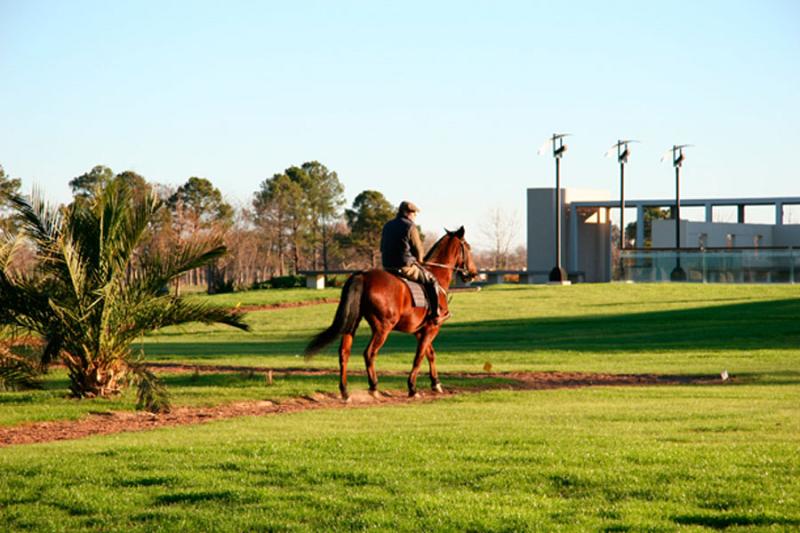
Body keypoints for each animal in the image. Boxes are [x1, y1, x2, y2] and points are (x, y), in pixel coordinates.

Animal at [304, 225, 478, 400]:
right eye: (468, 247)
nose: (474, 273)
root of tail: (363, 275)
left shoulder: (420, 331)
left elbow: (430, 354)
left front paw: (435, 383)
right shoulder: (432, 328)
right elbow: (419, 357)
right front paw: (412, 388)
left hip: (352, 324)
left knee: (344, 353)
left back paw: (345, 391)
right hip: (383, 328)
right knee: (369, 353)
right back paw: (373, 387)